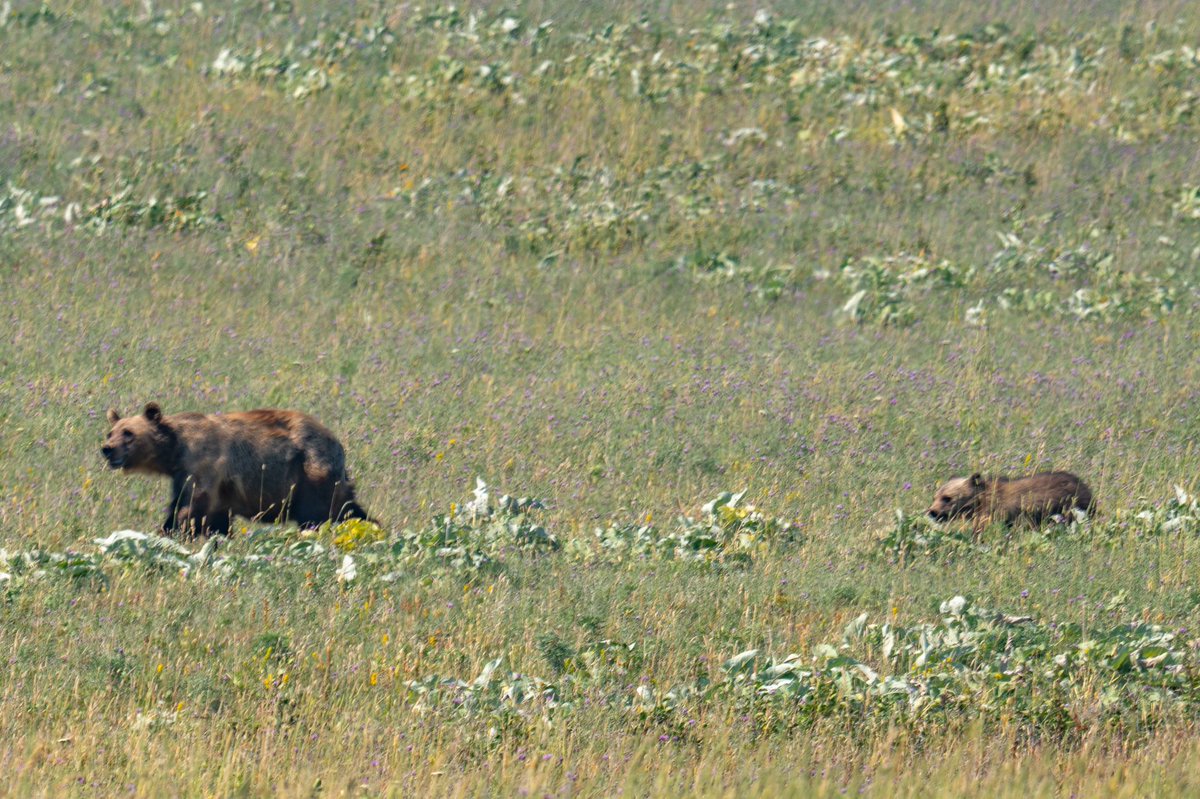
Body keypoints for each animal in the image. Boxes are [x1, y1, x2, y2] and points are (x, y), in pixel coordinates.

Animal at [102, 402, 374, 537]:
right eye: (111, 432)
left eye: (128, 433)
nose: (107, 449)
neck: (175, 448)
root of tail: (336, 443)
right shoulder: (193, 477)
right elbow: (210, 517)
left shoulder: (203, 463)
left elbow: (191, 508)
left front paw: (170, 531)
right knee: (350, 509)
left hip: (309, 472)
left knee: (317, 513)